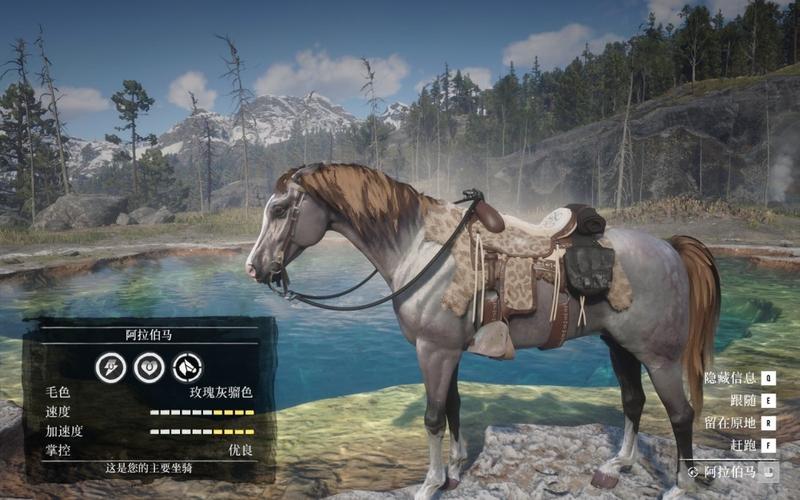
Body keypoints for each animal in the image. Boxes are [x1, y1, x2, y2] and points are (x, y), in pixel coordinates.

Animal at [245, 163, 720, 500]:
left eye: (280, 209)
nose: (254, 268)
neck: (422, 249)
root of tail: (669, 248)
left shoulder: (433, 349)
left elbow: (433, 416)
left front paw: (430, 483)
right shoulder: (447, 350)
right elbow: (453, 406)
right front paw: (455, 470)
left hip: (658, 355)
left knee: (680, 413)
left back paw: (680, 486)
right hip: (619, 345)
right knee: (633, 400)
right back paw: (616, 465)